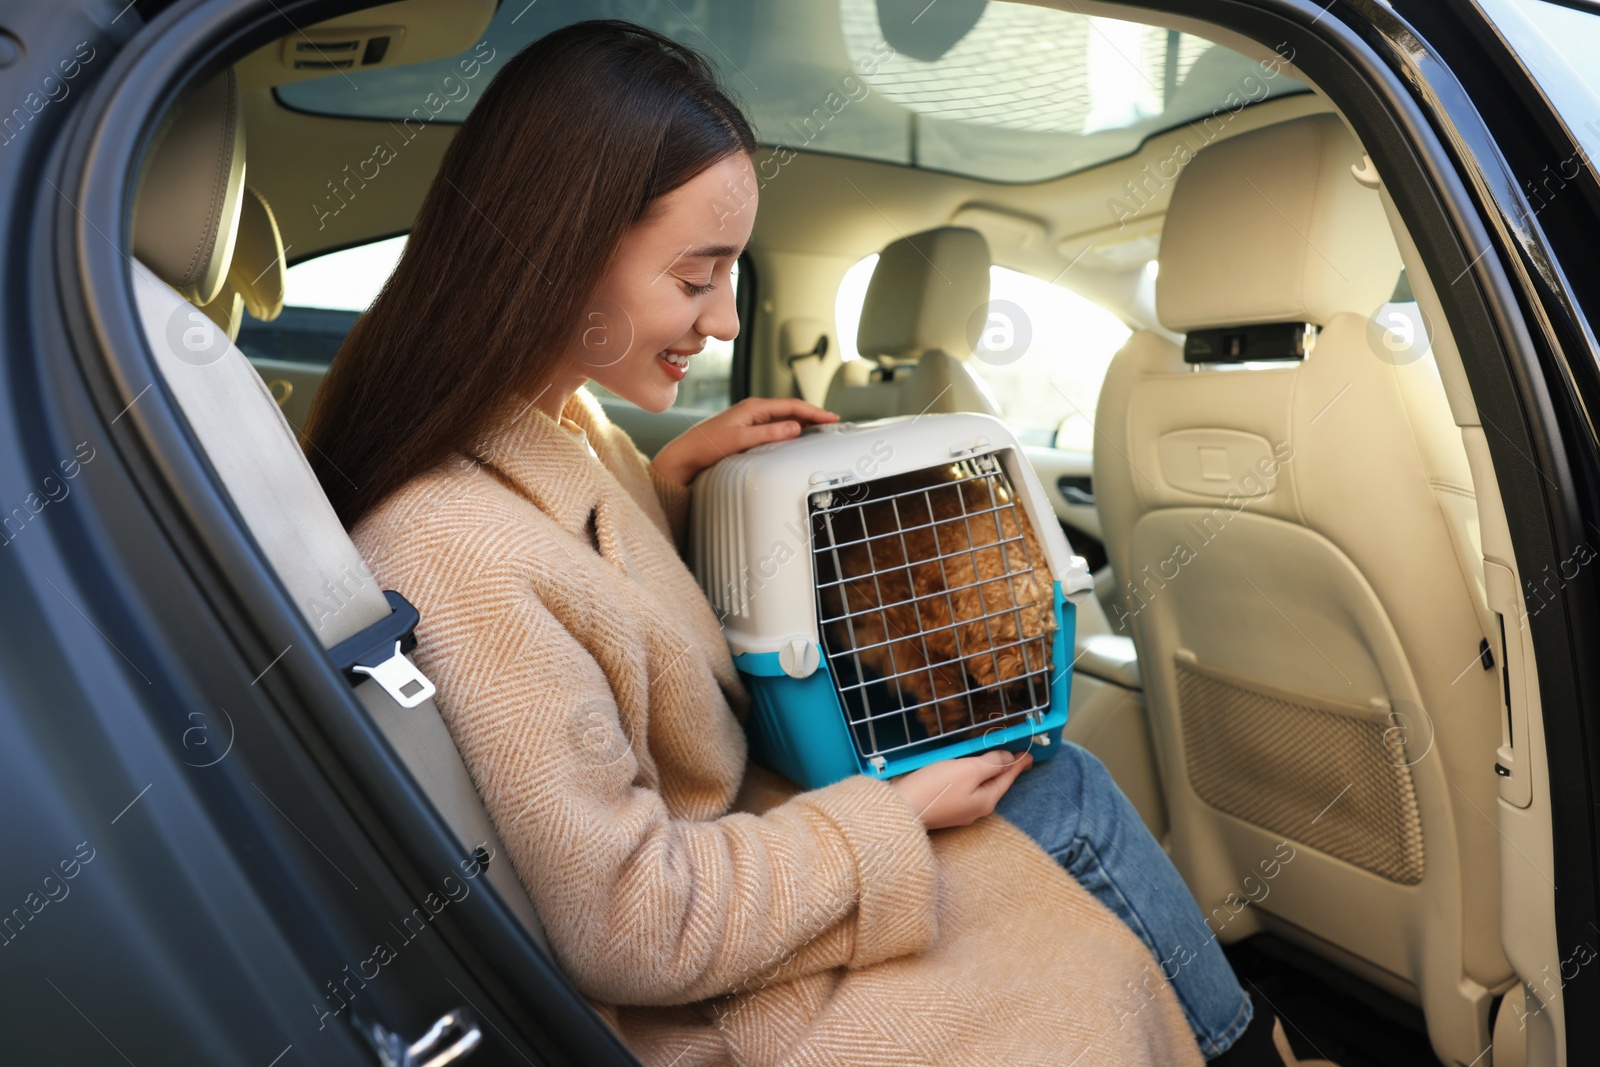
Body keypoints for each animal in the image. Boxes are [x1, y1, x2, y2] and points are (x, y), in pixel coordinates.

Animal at [812, 460, 1062, 742]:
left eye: (1045, 635)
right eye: (1000, 634)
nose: (1034, 677)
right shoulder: (875, 617)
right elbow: (918, 663)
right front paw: (948, 709)